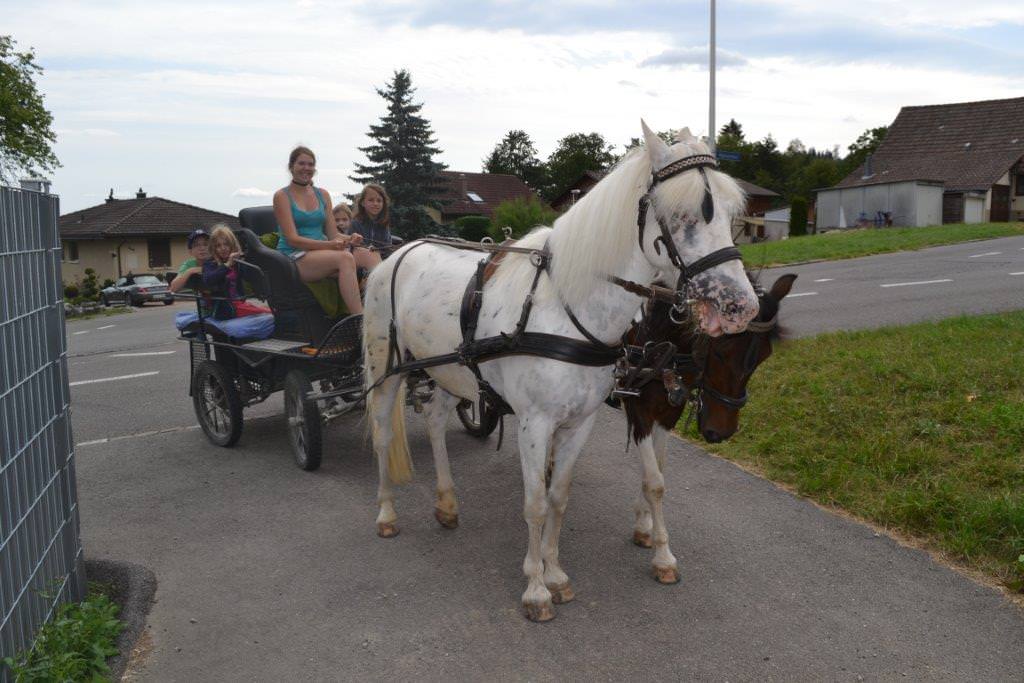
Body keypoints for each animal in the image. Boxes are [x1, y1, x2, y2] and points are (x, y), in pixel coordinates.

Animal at [361, 122, 760, 621]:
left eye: (730, 213)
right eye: (685, 216)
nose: (741, 306)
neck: (567, 308)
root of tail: (400, 251)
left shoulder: (580, 421)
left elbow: (558, 496)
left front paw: (554, 573)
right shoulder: (535, 423)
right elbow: (534, 503)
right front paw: (535, 590)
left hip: (453, 371)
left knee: (435, 424)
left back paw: (447, 504)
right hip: (388, 369)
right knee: (382, 436)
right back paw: (385, 514)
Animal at [621, 274, 796, 584]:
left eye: (763, 356)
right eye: (721, 350)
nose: (721, 432)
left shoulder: (667, 414)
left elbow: (656, 470)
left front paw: (644, 525)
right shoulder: (638, 410)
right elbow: (654, 482)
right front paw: (663, 557)